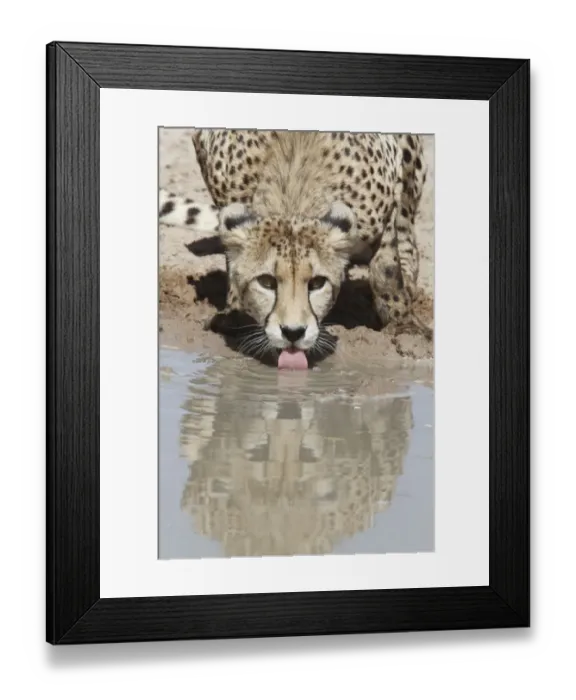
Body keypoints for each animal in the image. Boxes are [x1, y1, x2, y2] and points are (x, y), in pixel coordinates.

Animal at [159, 128, 431, 367]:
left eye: (317, 283)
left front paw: (404, 324)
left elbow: (386, 271)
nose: (293, 333)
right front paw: (234, 311)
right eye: (267, 282)